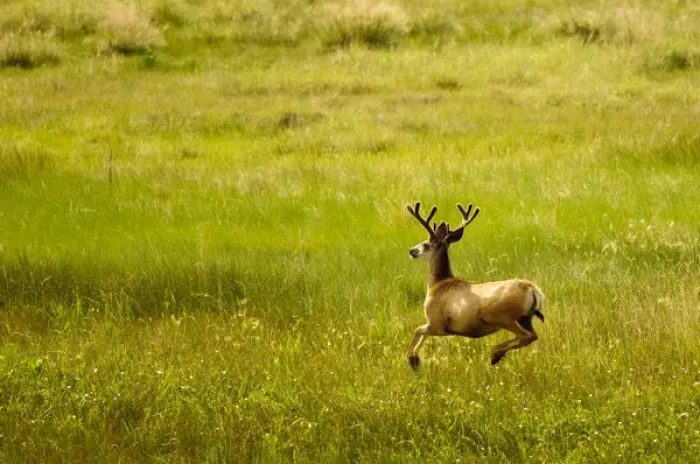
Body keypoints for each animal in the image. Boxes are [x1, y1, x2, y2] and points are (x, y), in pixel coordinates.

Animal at [405, 202, 544, 370]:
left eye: (425, 244)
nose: (411, 251)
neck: (437, 285)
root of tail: (532, 289)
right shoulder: (442, 328)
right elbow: (421, 333)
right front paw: (415, 359)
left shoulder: (437, 322)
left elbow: (417, 330)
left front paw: (412, 359)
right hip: (526, 318)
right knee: (533, 335)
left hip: (501, 316)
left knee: (525, 336)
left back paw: (495, 354)